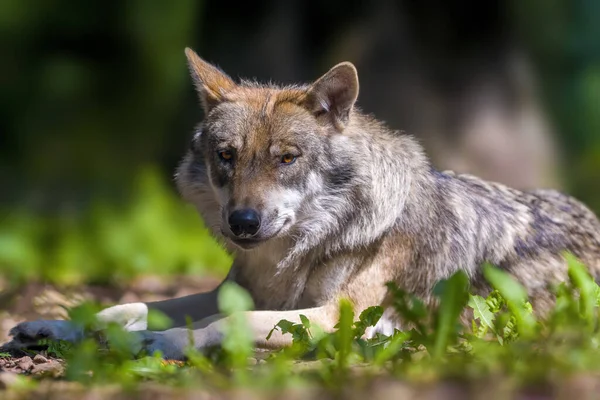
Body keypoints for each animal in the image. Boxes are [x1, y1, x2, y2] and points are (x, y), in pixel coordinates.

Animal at [4, 48, 600, 360]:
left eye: (287, 159)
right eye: (226, 156)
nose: (243, 222)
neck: (293, 256)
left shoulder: (345, 318)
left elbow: (228, 322)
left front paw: (161, 340)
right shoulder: (228, 290)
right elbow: (133, 304)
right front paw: (58, 325)